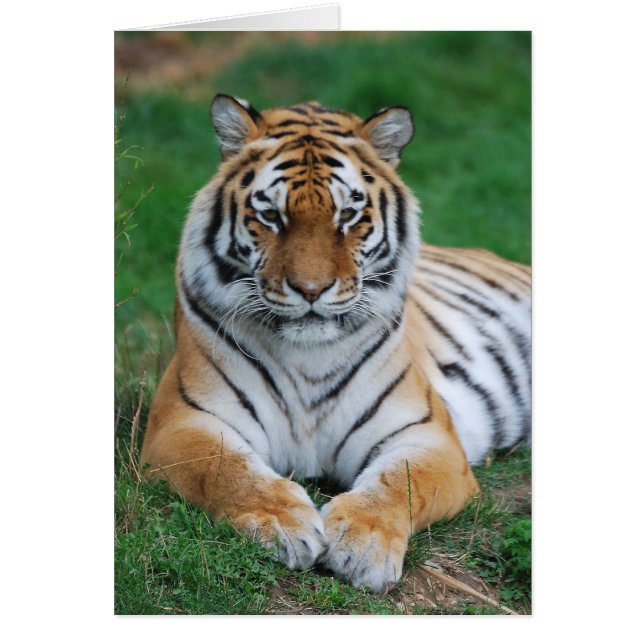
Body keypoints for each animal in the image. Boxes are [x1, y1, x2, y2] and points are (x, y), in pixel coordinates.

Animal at [140, 94, 531, 594]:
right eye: (271, 216)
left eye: (348, 216)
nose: (311, 290)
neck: (308, 355)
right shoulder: (183, 422)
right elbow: (225, 470)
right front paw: (283, 522)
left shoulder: (427, 435)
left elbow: (401, 481)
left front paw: (363, 542)